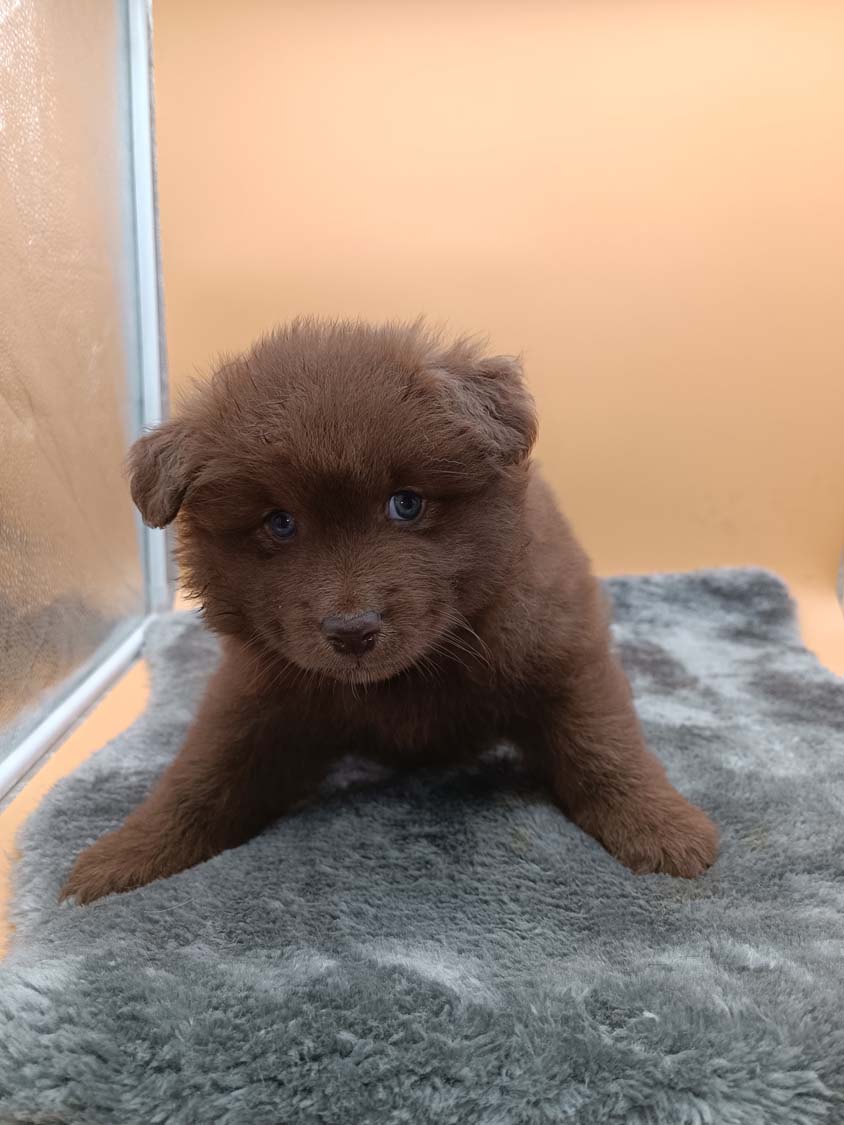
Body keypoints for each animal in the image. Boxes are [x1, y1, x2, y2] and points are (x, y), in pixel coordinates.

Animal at [61, 319, 718, 904]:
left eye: (406, 504)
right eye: (280, 522)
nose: (353, 631)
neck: (407, 679)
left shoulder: (561, 655)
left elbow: (605, 746)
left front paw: (663, 830)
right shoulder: (259, 694)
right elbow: (202, 778)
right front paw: (125, 855)